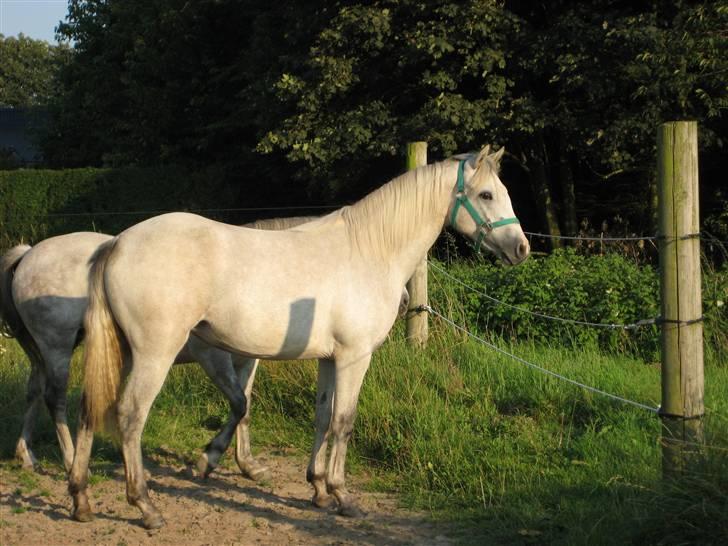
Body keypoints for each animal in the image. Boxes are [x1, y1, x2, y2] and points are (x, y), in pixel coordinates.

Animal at [69, 144, 528, 528]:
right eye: (486, 195)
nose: (522, 249)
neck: (370, 250)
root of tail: (117, 243)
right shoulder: (354, 357)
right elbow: (344, 421)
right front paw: (342, 496)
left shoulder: (329, 358)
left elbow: (322, 417)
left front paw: (319, 488)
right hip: (154, 354)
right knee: (130, 415)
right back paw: (145, 506)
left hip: (123, 351)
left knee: (91, 407)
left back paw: (80, 499)